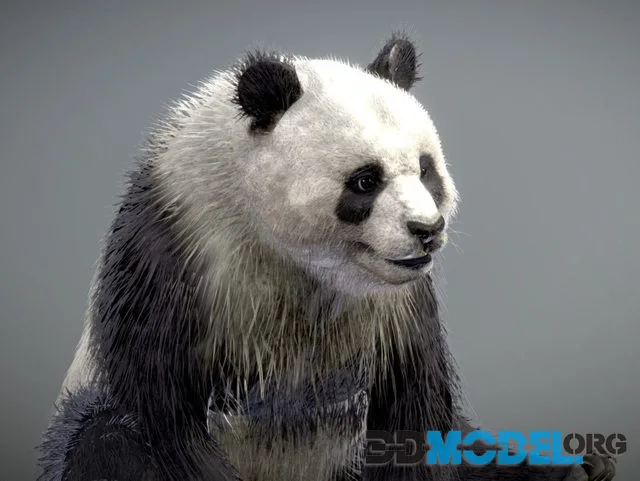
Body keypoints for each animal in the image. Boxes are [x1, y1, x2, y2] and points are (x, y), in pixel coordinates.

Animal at [38, 33, 617, 481]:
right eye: (365, 181)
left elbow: (415, 413)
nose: (427, 231)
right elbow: (161, 415)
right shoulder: (177, 250)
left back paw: (574, 467)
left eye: (425, 169)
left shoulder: (397, 311)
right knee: (102, 440)